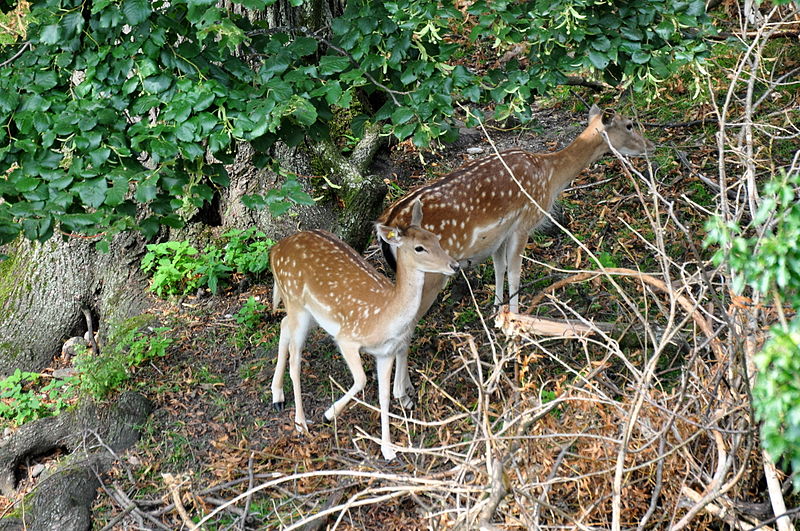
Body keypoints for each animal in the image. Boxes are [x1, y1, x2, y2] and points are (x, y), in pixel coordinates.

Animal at [268, 201, 456, 462]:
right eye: (419, 248)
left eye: (436, 238)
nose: (454, 265)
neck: (383, 317)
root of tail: (274, 249)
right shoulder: (347, 338)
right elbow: (361, 379)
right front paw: (329, 414)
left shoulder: (386, 352)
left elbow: (384, 396)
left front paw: (388, 450)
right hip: (296, 301)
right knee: (296, 362)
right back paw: (300, 423)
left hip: (309, 313)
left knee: (284, 325)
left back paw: (277, 396)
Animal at [378, 104, 652, 402]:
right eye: (629, 124)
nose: (648, 147)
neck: (549, 176)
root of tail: (387, 227)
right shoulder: (524, 222)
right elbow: (515, 273)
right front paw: (517, 328)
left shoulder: (499, 235)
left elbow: (499, 268)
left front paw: (498, 315)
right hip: (429, 275)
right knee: (404, 328)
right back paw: (404, 394)